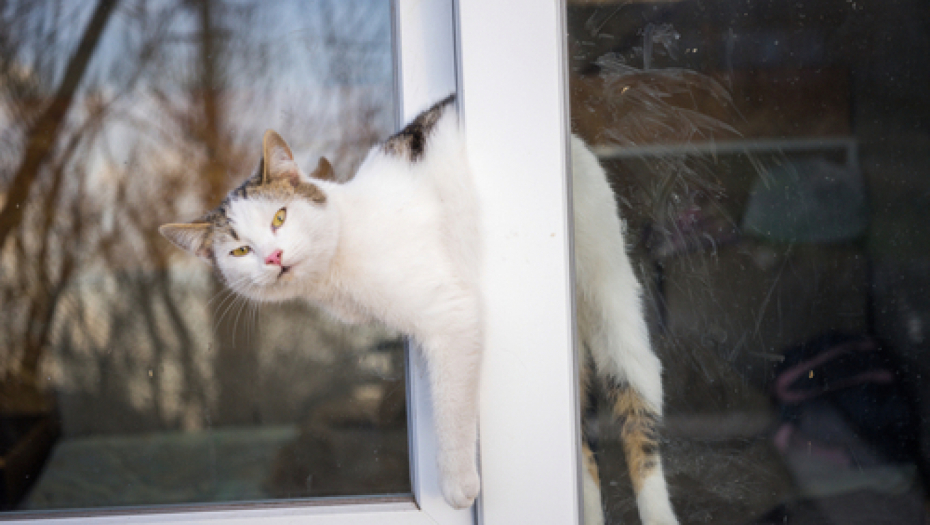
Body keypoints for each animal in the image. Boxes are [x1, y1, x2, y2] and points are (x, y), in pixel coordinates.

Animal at [161, 95, 676, 524]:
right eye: (240, 251)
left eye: (280, 217)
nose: (273, 257)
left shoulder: (451, 312)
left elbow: (450, 403)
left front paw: (457, 483)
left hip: (608, 291)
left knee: (639, 403)